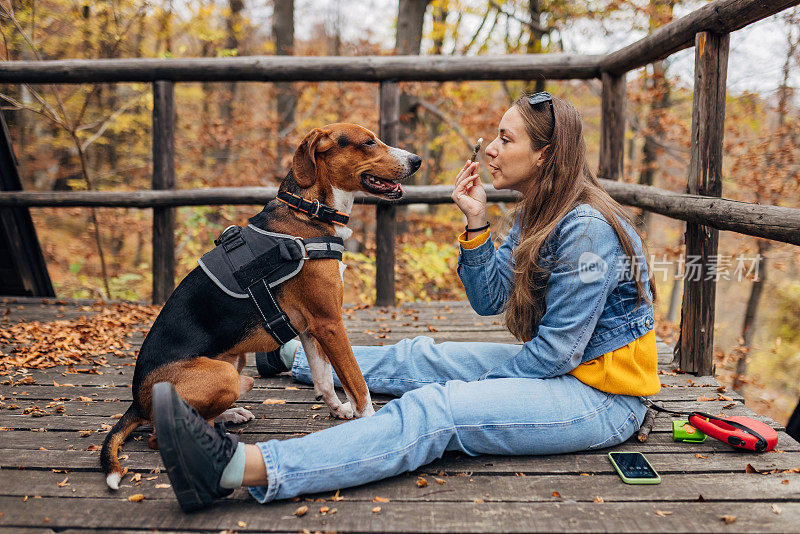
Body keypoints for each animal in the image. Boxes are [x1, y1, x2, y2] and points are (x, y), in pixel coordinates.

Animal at [101, 123, 418, 492]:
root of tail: (137, 402)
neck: (309, 210)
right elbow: (356, 381)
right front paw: (371, 420)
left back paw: (230, 414)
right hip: (225, 375)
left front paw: (338, 409)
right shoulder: (329, 322)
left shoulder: (310, 327)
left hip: (237, 364)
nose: (416, 160)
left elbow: (324, 379)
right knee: (157, 436)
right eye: (368, 142)